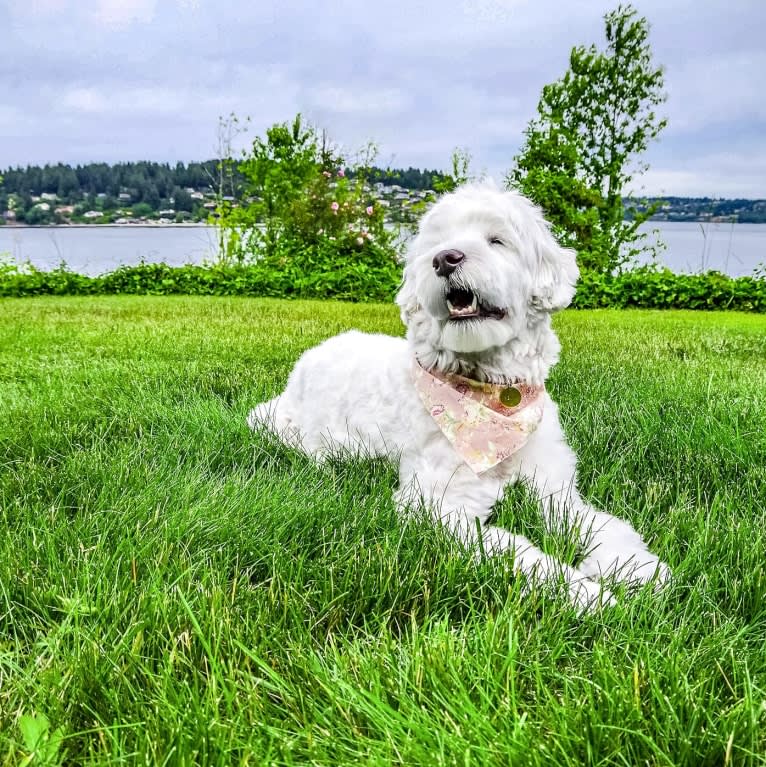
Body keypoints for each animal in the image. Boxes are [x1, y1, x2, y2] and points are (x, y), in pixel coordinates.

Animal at [249, 183, 668, 608]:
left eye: (497, 240)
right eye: (437, 243)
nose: (444, 259)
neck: (496, 400)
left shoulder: (554, 490)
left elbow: (598, 524)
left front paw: (637, 567)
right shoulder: (439, 507)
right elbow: (521, 553)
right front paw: (586, 595)